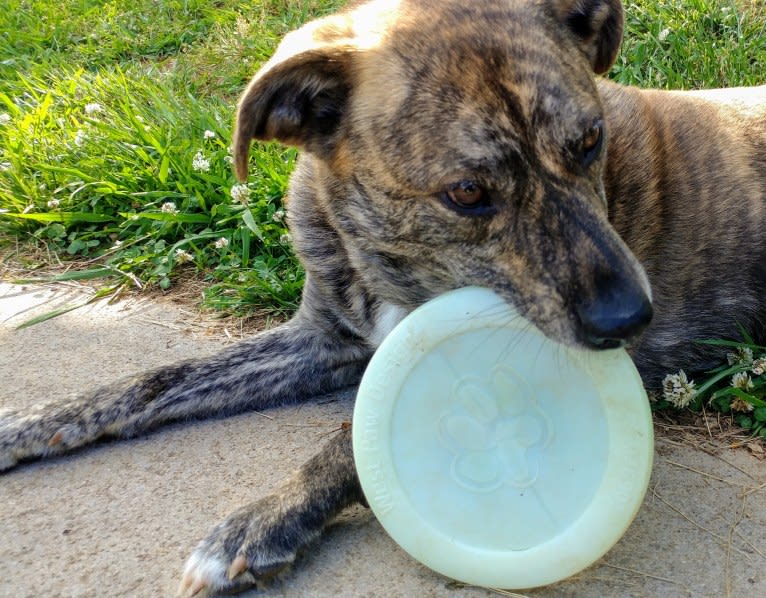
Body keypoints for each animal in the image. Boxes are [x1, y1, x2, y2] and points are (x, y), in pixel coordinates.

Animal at [1, 0, 766, 596]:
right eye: (467, 192)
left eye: (590, 141)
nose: (633, 319)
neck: (395, 261)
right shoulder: (322, 339)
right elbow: (156, 380)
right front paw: (35, 422)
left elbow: (348, 442)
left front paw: (259, 521)